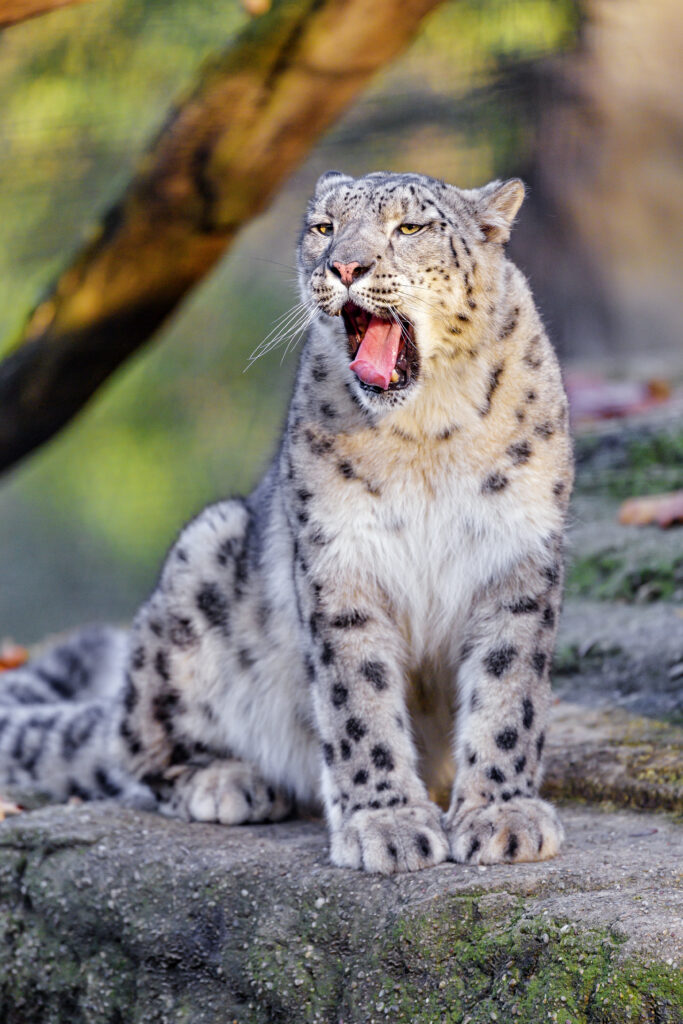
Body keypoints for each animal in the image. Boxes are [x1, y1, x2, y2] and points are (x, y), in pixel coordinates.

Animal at [0, 170, 573, 874]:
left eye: (410, 227)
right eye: (324, 227)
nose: (345, 266)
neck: (428, 431)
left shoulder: (517, 556)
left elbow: (507, 692)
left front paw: (502, 816)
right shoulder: (341, 560)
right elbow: (359, 701)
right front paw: (387, 824)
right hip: (199, 565)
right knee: (138, 748)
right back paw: (229, 782)